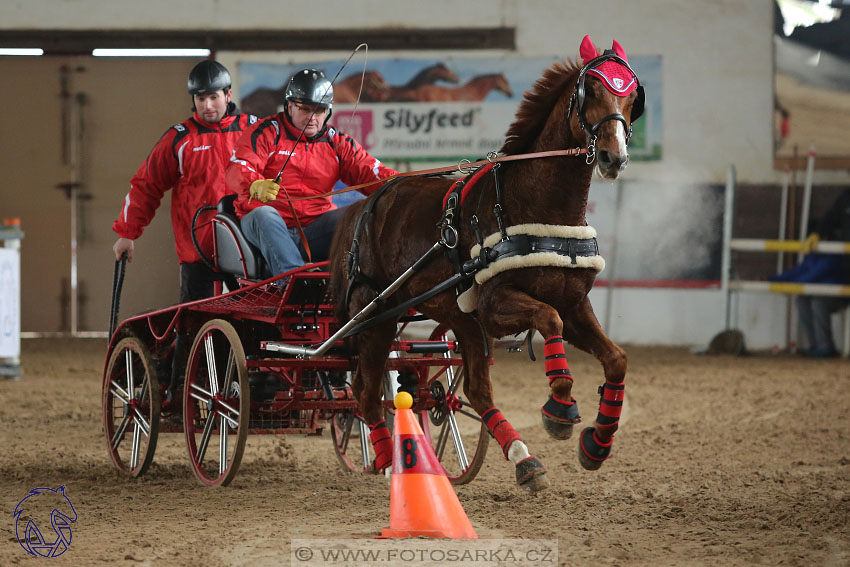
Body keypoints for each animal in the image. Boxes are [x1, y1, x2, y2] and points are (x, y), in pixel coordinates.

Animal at [328, 37, 640, 492]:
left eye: (632, 96)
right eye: (592, 90)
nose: (614, 157)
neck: (534, 203)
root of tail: (365, 203)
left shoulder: (573, 304)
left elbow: (615, 359)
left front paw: (596, 444)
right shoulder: (495, 307)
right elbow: (548, 320)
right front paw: (560, 408)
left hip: (459, 320)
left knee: (474, 390)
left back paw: (524, 459)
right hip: (376, 315)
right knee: (366, 395)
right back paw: (387, 460)